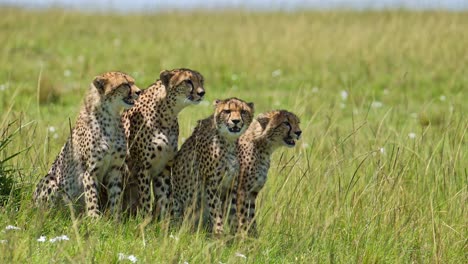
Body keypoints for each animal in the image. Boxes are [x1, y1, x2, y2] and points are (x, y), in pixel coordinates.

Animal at [33, 71, 141, 218]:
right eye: (125, 84)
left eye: (133, 82)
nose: (139, 92)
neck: (111, 115)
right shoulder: (90, 170)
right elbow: (91, 196)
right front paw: (94, 219)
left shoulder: (115, 169)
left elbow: (116, 196)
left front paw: (115, 219)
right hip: (50, 180)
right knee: (47, 210)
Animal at [121, 68, 206, 217]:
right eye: (188, 81)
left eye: (201, 81)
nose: (202, 92)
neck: (167, 114)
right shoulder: (143, 168)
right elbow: (145, 198)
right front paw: (145, 220)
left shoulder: (164, 167)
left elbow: (163, 197)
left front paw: (162, 221)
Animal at [171, 98, 254, 234]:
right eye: (227, 111)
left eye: (243, 111)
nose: (236, 121)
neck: (229, 142)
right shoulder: (212, 185)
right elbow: (216, 212)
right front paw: (219, 233)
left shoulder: (230, 186)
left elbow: (232, 213)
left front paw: (235, 235)